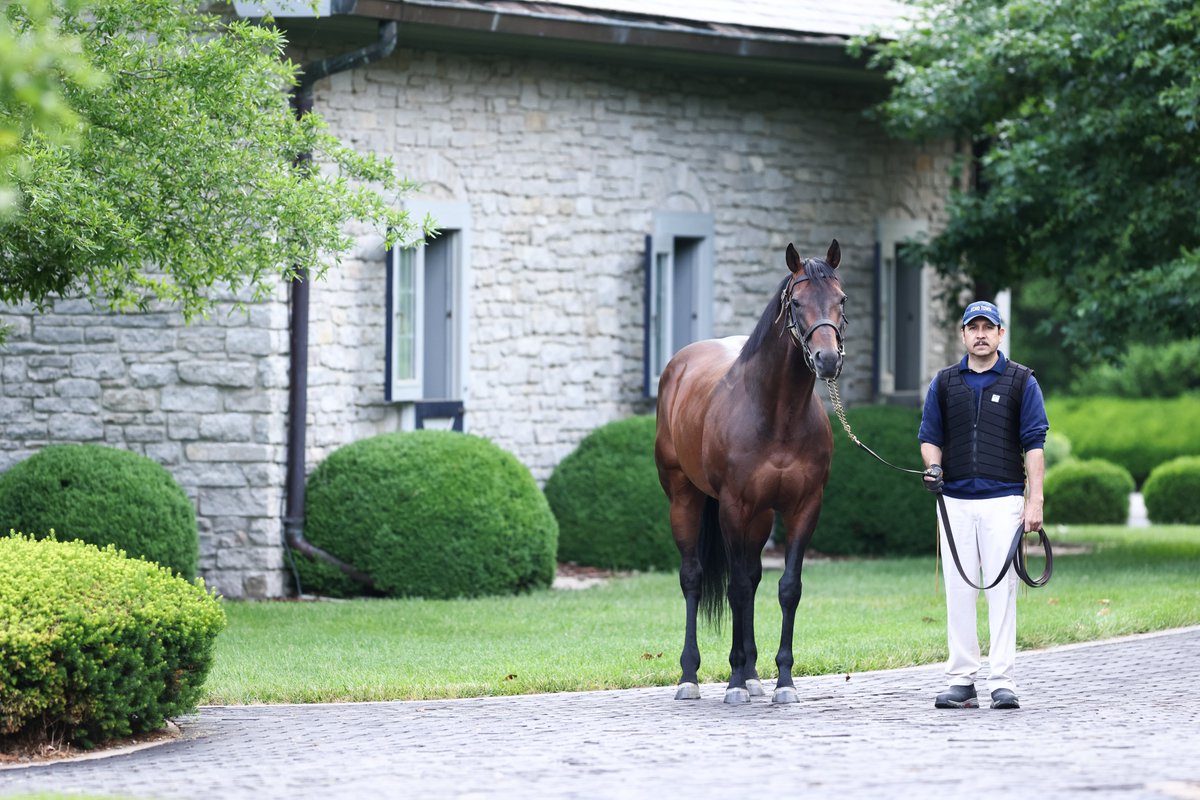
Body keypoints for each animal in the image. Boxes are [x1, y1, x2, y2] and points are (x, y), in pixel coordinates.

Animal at [652, 241, 849, 705]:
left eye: (842, 300)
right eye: (796, 303)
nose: (827, 359)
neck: (777, 415)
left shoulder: (803, 508)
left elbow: (786, 588)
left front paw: (783, 681)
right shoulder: (734, 507)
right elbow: (735, 588)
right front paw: (735, 683)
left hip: (759, 518)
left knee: (754, 578)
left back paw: (752, 672)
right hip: (685, 499)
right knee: (695, 579)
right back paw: (692, 677)